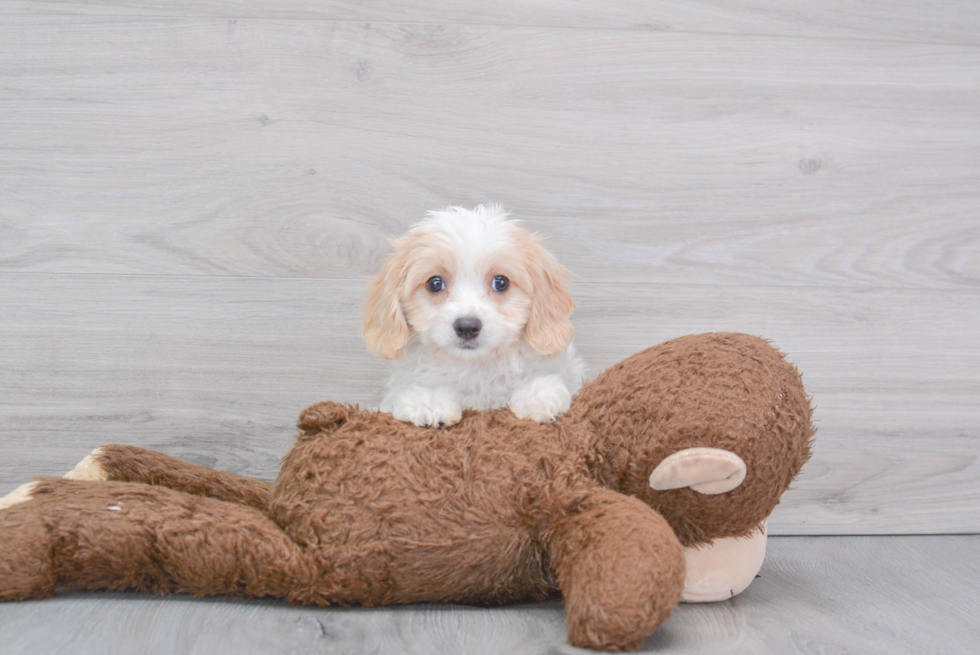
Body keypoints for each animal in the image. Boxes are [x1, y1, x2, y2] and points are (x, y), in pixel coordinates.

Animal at [364, 205, 584, 430]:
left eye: (501, 282)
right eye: (434, 283)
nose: (467, 326)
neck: (475, 367)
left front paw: (537, 394)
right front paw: (428, 401)